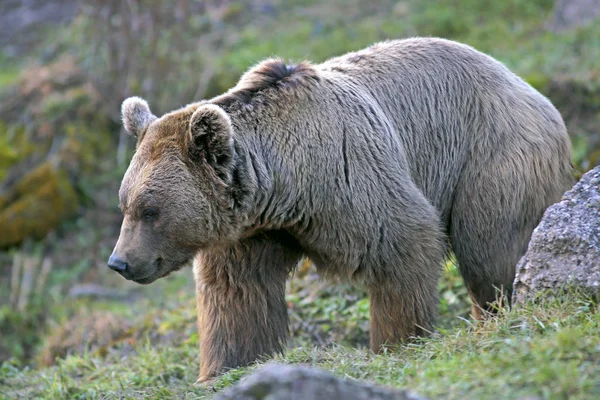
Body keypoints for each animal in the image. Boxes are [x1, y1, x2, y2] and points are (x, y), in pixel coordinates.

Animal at [108, 37, 572, 382]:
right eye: (125, 204)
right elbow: (238, 295)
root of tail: (529, 89)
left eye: (151, 210)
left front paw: (397, 344)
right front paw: (226, 367)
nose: (120, 262)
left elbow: (406, 246)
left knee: (491, 252)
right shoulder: (251, 231)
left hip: (492, 160)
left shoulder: (353, 179)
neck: (286, 185)